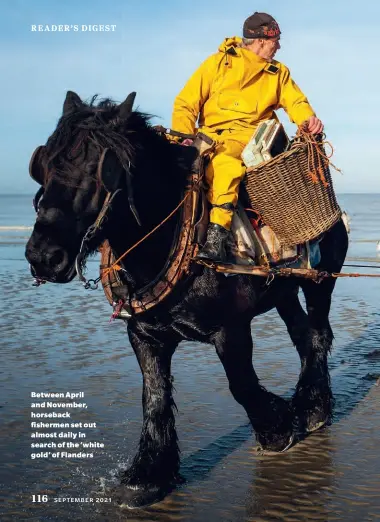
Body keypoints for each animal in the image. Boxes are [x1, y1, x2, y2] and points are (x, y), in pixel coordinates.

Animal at [25, 91, 348, 506]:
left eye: (100, 171)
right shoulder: (144, 335)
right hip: (284, 289)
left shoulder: (231, 329)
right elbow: (154, 398)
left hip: (321, 279)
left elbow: (241, 385)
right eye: (44, 165)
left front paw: (276, 428)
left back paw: (312, 407)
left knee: (319, 333)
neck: (172, 236)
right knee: (303, 335)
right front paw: (149, 475)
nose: (43, 256)